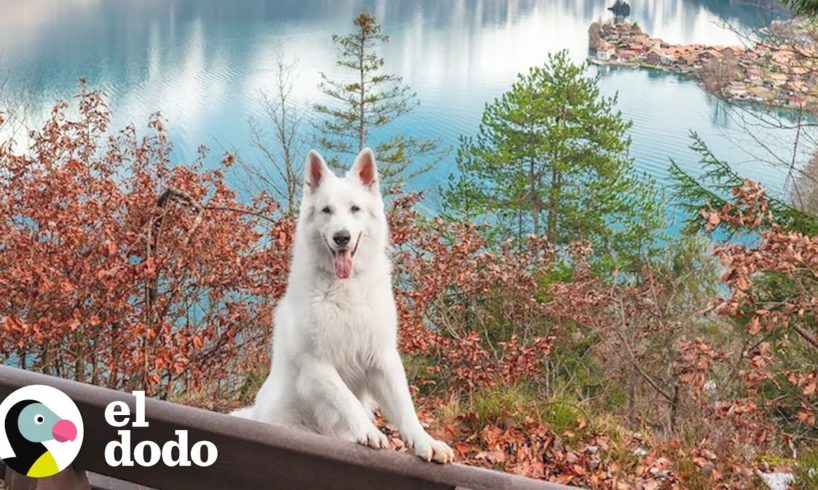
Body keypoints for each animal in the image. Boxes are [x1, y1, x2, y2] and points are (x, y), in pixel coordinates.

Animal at [234, 148, 452, 464]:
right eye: (326, 210)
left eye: (355, 209)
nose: (341, 237)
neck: (344, 288)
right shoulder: (315, 363)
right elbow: (345, 397)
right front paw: (369, 431)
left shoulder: (382, 359)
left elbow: (406, 408)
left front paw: (426, 442)